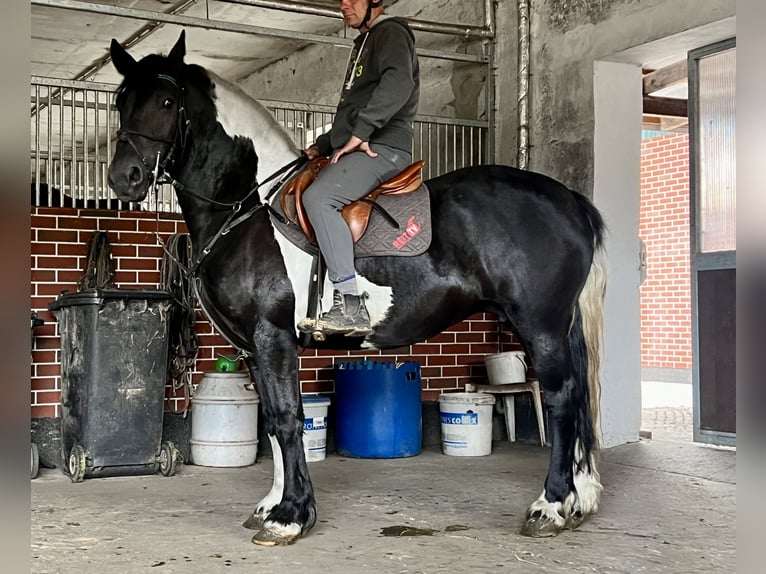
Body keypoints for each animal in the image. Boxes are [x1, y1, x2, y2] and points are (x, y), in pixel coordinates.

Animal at [108, 31, 608, 548]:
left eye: (167, 101)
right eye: (121, 101)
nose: (123, 178)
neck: (250, 209)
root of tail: (570, 199)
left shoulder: (273, 337)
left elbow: (287, 419)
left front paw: (291, 516)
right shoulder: (251, 347)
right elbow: (271, 423)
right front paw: (271, 506)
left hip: (540, 325)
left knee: (562, 399)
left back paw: (550, 506)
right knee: (577, 399)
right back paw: (579, 500)